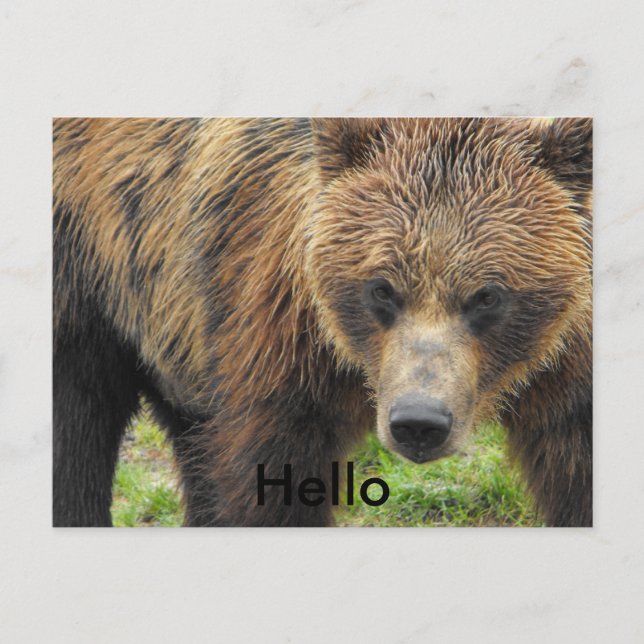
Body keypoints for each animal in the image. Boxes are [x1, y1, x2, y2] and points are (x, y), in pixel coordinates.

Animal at [53, 117, 592, 527]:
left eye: (487, 296)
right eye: (381, 288)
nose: (419, 422)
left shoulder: (570, 371)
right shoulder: (277, 343)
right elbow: (266, 483)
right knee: (78, 424)